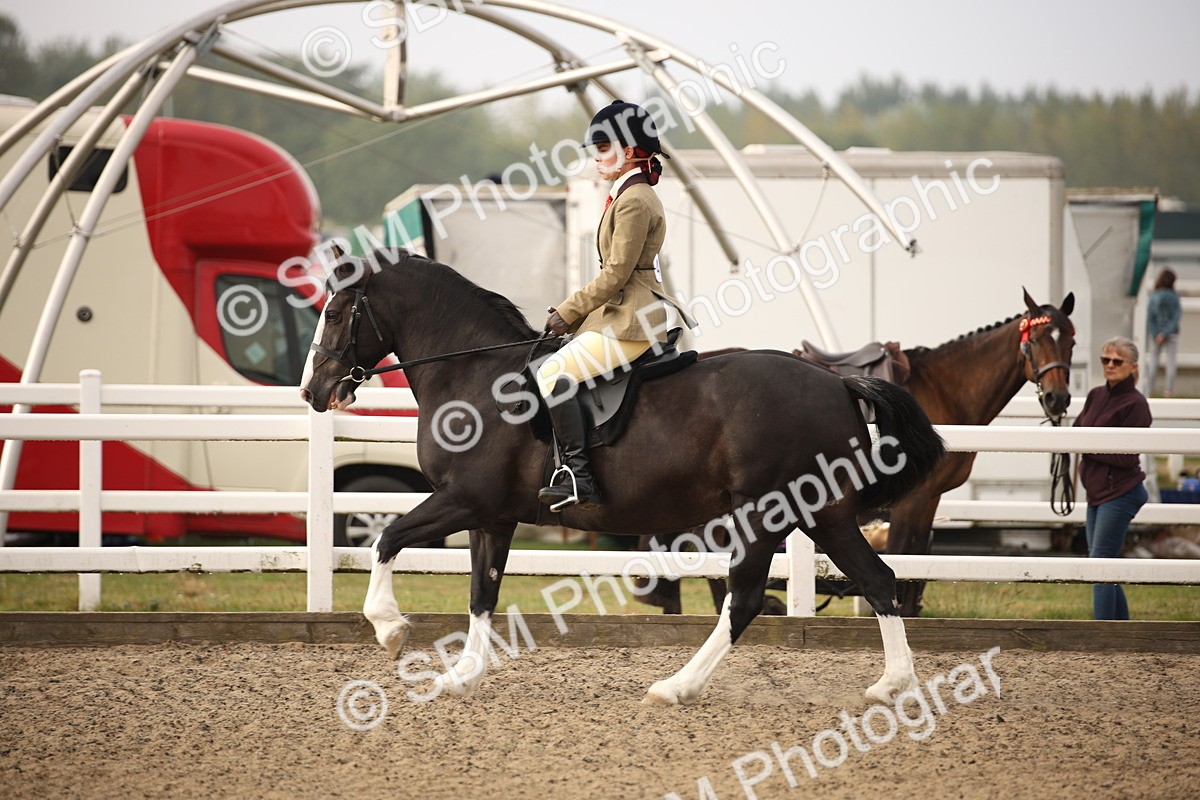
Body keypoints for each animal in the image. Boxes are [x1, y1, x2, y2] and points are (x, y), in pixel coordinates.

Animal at [300, 249, 946, 705]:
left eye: (333, 312)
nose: (312, 392)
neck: (475, 377)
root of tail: (837, 382)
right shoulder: (494, 516)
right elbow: (482, 593)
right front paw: (461, 676)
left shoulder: (463, 499)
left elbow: (387, 538)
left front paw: (390, 629)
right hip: (821, 512)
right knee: (878, 580)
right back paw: (891, 685)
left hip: (768, 510)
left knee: (745, 599)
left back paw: (676, 688)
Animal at [634, 290, 1076, 617]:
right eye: (1037, 340)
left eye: (1070, 339)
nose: (1058, 398)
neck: (945, 390)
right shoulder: (914, 499)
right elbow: (905, 556)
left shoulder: (928, 499)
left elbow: (916, 559)